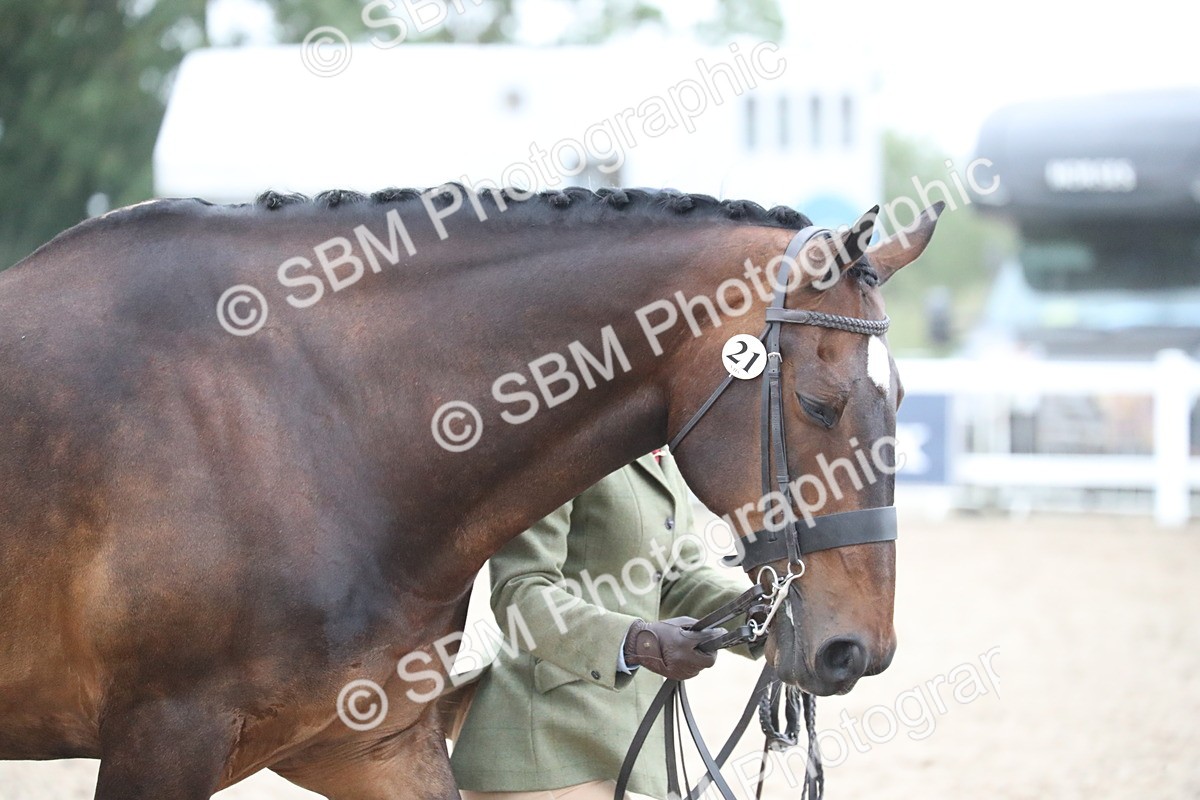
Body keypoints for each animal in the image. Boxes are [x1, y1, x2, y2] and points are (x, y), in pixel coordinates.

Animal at [0, 184, 941, 799]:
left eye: (901, 396)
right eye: (818, 403)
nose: (857, 650)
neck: (311, 417)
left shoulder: (371, 742)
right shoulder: (162, 738)